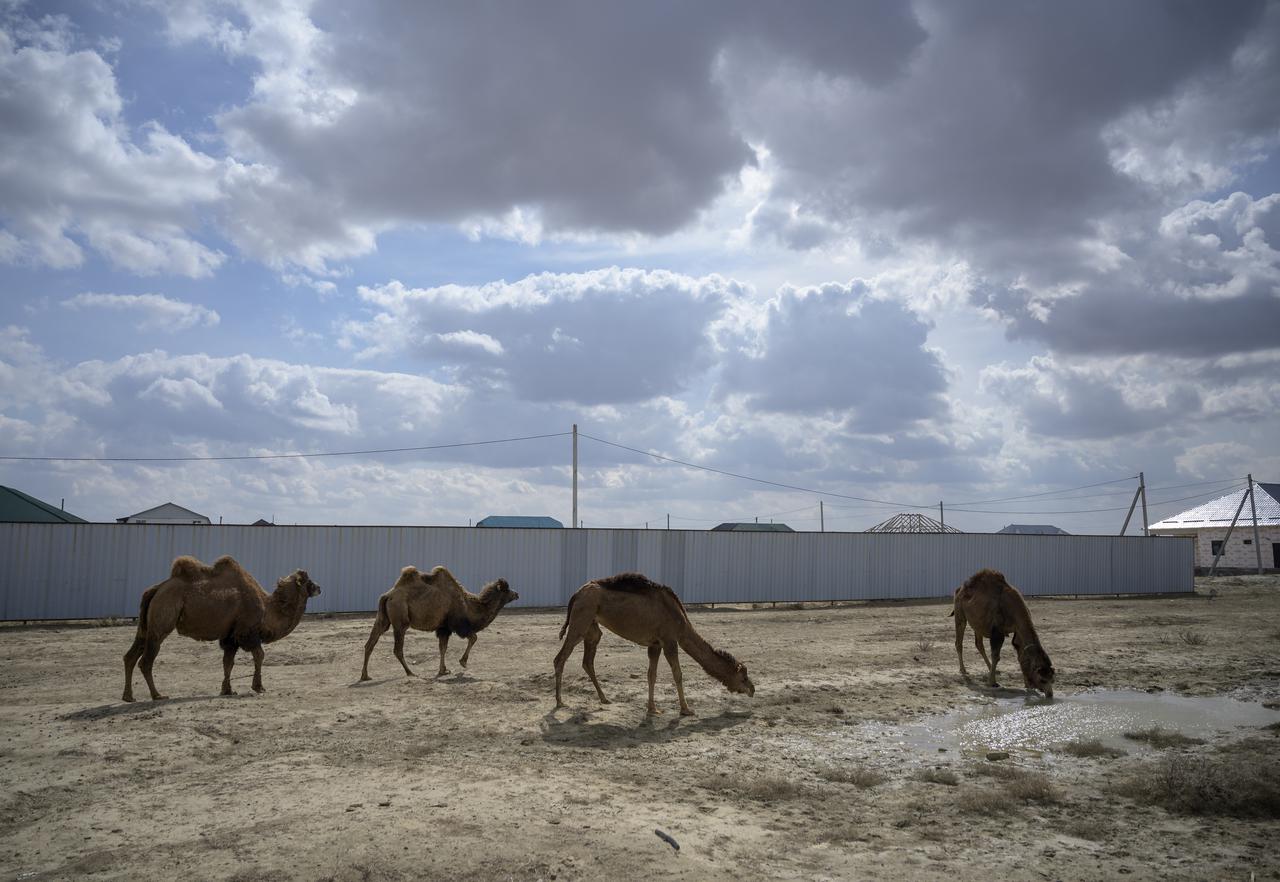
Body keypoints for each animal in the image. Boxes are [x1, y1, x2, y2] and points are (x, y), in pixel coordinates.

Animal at [122, 555, 321, 702]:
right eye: (308, 581)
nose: (319, 588)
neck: (268, 608)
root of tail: (155, 590)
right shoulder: (247, 632)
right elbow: (259, 655)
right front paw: (258, 687)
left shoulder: (230, 637)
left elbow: (228, 662)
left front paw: (227, 690)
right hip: (161, 620)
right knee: (146, 660)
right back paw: (158, 695)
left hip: (146, 626)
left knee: (130, 656)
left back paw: (129, 697)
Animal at [360, 566, 518, 680]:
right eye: (507, 589)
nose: (517, 594)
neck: (469, 606)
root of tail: (387, 595)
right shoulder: (458, 625)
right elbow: (473, 637)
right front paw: (462, 662)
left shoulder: (443, 628)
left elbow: (443, 648)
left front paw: (443, 670)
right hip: (400, 621)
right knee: (397, 649)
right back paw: (411, 673)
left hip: (383, 619)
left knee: (370, 643)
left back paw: (365, 676)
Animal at [553, 572, 755, 715]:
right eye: (743, 678)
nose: (752, 690)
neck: (682, 624)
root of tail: (576, 594)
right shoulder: (670, 641)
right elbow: (678, 674)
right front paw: (686, 709)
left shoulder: (655, 644)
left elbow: (652, 675)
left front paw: (652, 708)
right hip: (581, 619)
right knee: (560, 658)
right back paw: (559, 702)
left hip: (592, 626)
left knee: (588, 660)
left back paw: (604, 699)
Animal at [950, 568, 1055, 698]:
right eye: (1042, 680)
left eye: (1052, 679)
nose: (1050, 694)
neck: (1013, 609)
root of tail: (959, 589)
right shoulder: (997, 631)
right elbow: (996, 655)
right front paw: (992, 682)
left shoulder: (1017, 631)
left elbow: (1021, 655)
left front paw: (1027, 685)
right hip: (960, 613)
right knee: (959, 641)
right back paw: (964, 670)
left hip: (978, 622)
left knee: (979, 644)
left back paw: (992, 669)